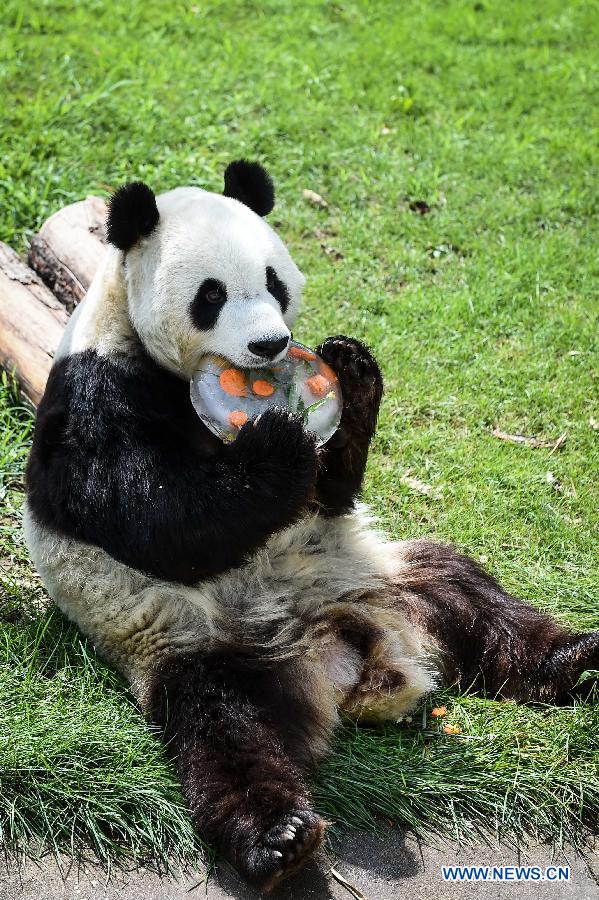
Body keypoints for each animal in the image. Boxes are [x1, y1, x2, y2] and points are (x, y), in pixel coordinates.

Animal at [25, 162, 599, 892]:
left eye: (274, 281)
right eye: (210, 296)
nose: (269, 345)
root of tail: (346, 652)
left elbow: (327, 494)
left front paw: (351, 371)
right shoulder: (97, 393)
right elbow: (156, 518)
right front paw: (277, 442)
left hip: (382, 574)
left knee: (471, 594)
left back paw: (573, 659)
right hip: (204, 645)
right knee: (224, 729)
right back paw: (278, 839)